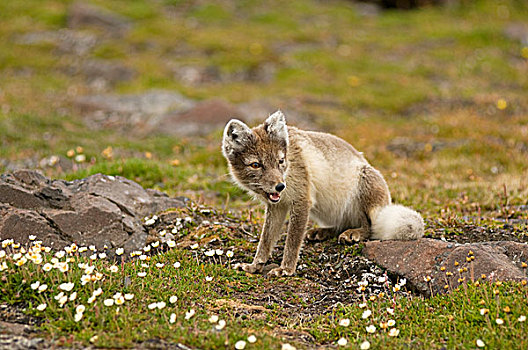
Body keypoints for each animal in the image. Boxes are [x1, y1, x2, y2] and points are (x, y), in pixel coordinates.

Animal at [223, 110, 424, 276]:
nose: (280, 186)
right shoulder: (277, 206)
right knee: (342, 224)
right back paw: (323, 232)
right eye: (256, 164)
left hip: (366, 185)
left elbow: (292, 241)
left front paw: (286, 269)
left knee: (372, 228)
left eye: (280, 161)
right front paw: (254, 266)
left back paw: (355, 233)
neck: (290, 166)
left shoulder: (302, 200)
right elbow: (266, 240)